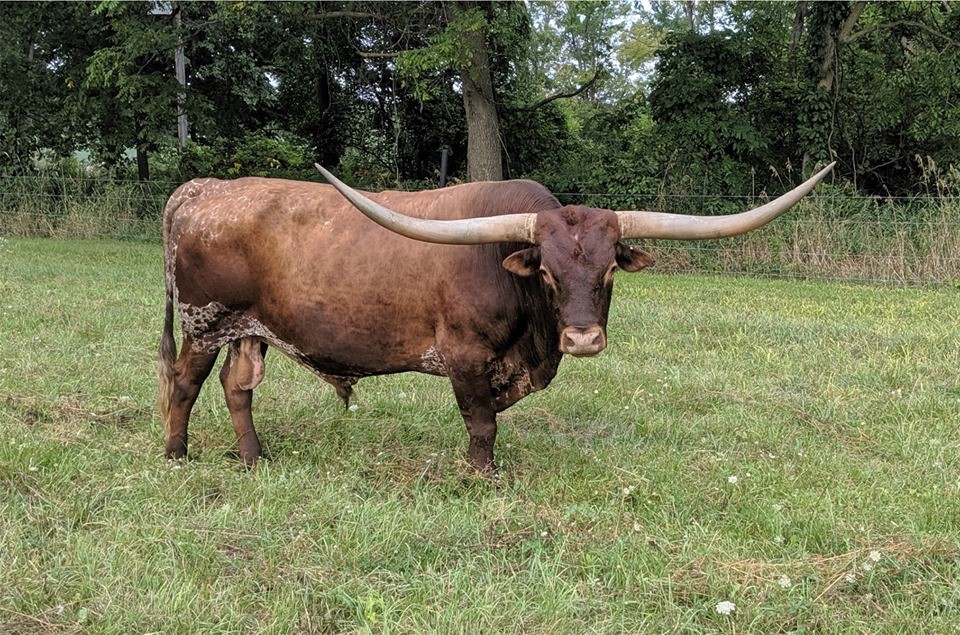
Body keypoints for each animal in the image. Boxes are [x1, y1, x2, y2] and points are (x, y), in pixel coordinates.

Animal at [158, 162, 835, 470]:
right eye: (547, 273)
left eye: (609, 272)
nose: (583, 338)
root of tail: (201, 189)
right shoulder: (464, 356)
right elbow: (482, 423)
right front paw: (481, 476)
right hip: (202, 322)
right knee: (185, 385)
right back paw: (177, 454)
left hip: (249, 329)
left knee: (238, 388)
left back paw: (254, 458)